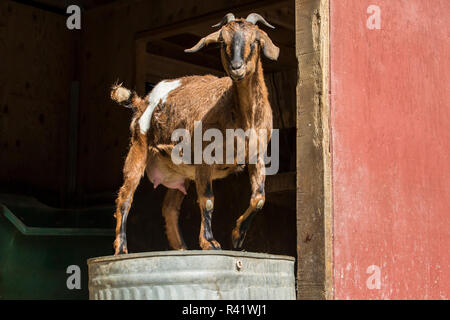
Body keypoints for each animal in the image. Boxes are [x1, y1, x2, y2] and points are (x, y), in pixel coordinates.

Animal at [110, 13, 278, 255]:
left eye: (255, 40)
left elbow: (259, 198)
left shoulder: (257, 156)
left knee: (169, 208)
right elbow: (207, 200)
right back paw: (121, 248)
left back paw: (181, 248)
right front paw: (210, 242)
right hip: (139, 146)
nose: (236, 68)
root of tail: (142, 102)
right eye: (222, 41)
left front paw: (237, 236)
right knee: (125, 196)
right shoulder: (204, 159)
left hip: (180, 171)